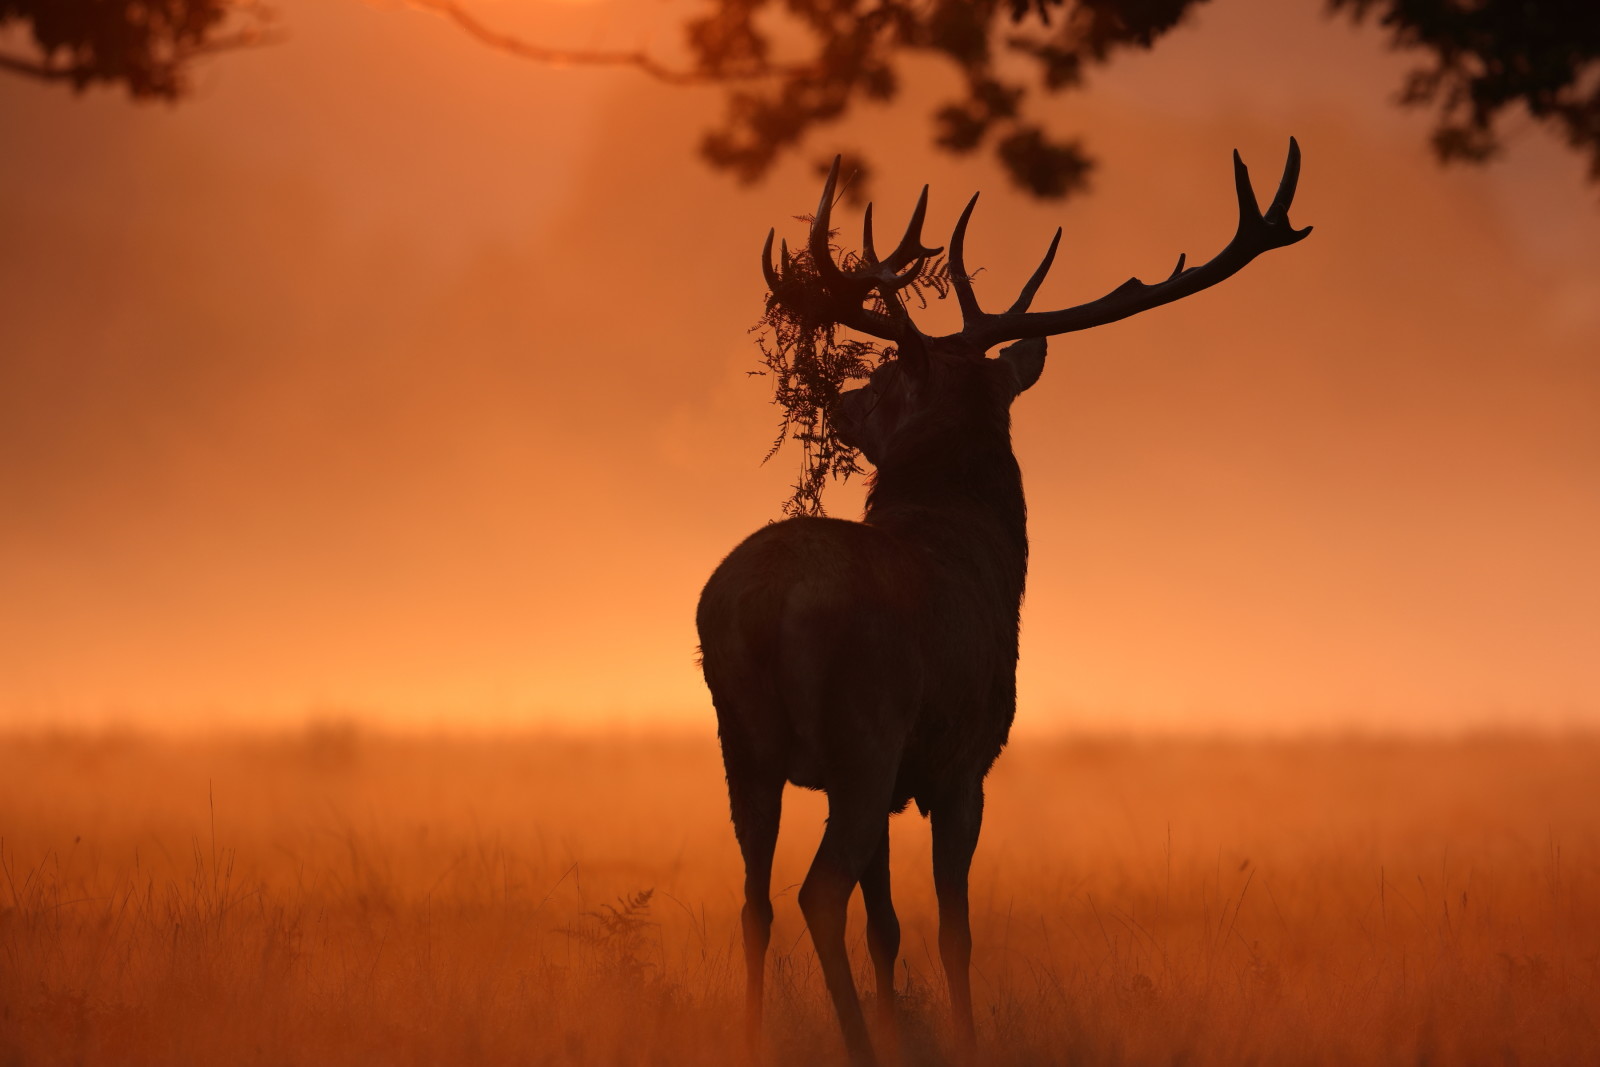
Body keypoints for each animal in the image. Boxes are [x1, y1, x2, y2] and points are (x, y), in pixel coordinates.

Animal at [700, 141, 1312, 1067]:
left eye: (883, 380)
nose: (840, 401)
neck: (983, 551)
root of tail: (764, 604)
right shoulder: (965, 760)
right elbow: (954, 929)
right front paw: (959, 1036)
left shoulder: (902, 776)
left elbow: (888, 928)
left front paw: (904, 1024)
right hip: (862, 730)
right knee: (816, 892)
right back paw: (856, 1048)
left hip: (742, 745)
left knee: (755, 899)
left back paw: (750, 1037)